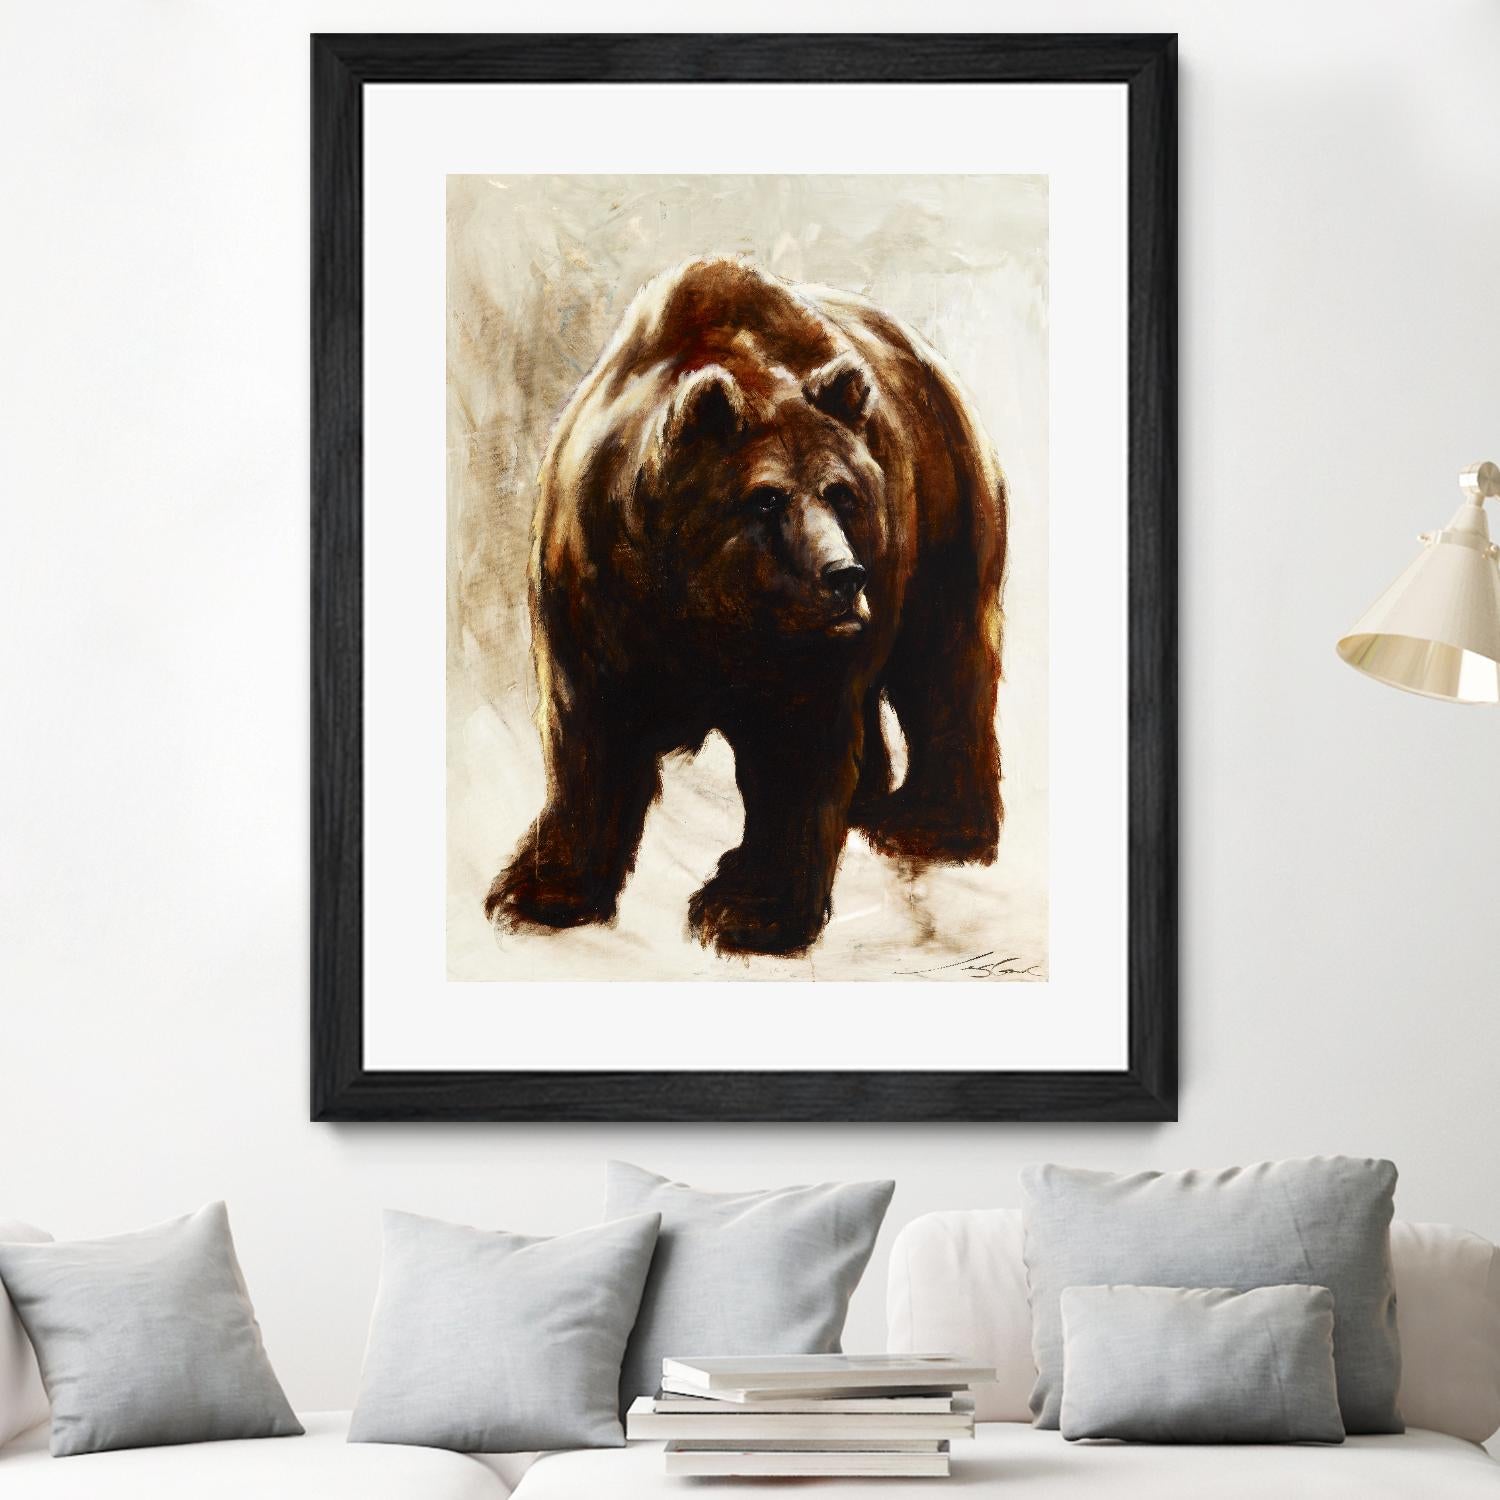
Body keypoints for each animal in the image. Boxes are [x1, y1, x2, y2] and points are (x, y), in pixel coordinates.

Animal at [485, 255, 1007, 957]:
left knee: (943, 659)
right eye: (766, 498)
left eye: (841, 493)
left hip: (944, 508)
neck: (701, 609)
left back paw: (929, 823)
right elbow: (590, 736)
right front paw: (540, 890)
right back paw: (870, 803)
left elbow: (796, 747)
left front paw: (746, 909)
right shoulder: (596, 598)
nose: (844, 575)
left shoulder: (799, 647)